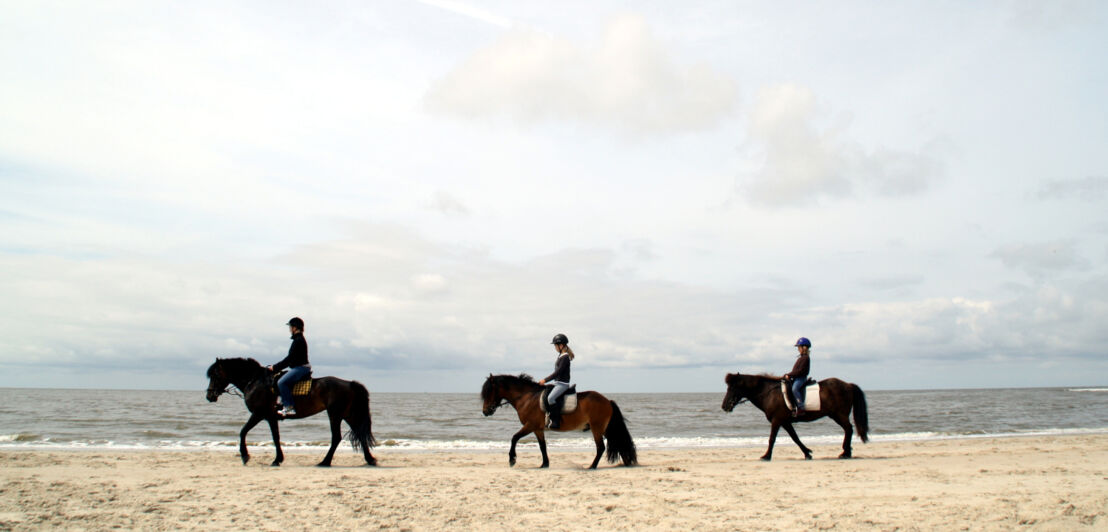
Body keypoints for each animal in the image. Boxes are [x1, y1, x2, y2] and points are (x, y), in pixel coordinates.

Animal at [207, 356, 376, 465]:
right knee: (359, 433)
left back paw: (325, 461)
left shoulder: (258, 414)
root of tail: (349, 383)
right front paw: (278, 459)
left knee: (336, 437)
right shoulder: (270, 417)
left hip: (335, 414)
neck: (255, 382)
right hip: (346, 414)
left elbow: (243, 432)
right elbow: (275, 437)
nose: (209, 396)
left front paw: (245, 456)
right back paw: (370, 459)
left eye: (215, 375)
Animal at [478, 374, 642, 469]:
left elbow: (514, 438)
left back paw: (592, 466)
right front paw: (544, 464)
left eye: (489, 391)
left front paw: (512, 459)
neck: (526, 397)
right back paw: (627, 462)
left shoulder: (530, 425)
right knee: (618, 441)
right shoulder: (537, 429)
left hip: (597, 428)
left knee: (601, 447)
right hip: (604, 428)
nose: (485, 411)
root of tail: (607, 401)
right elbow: (542, 446)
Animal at [722, 370, 868, 461]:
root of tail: (848, 385)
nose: (724, 406)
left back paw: (845, 452)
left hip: (839, 415)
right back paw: (846, 452)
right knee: (848, 429)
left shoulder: (777, 420)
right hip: (836, 415)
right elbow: (795, 438)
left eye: (732, 388)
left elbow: (772, 439)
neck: (769, 393)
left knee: (848, 429)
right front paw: (807, 453)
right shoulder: (785, 422)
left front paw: (766, 456)